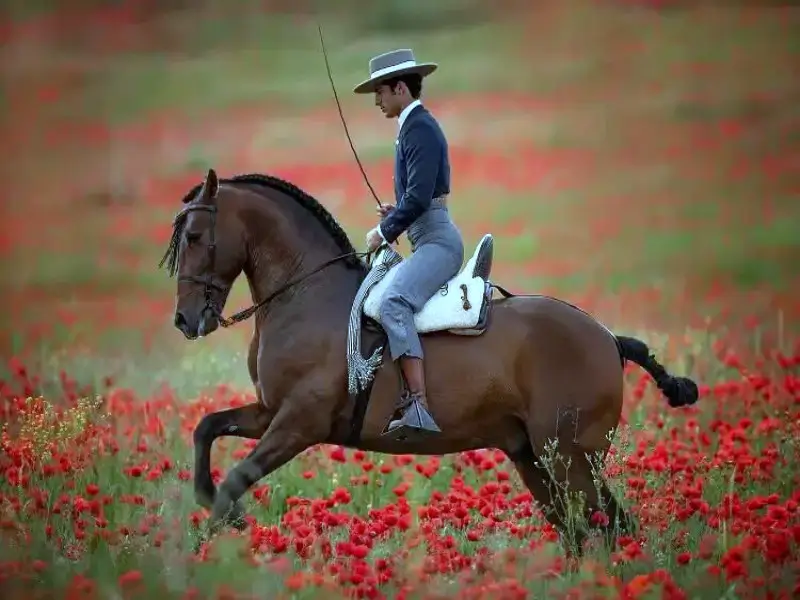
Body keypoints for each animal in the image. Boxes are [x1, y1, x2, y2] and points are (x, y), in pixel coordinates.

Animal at [160, 168, 699, 552]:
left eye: (194, 236)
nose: (185, 319)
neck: (306, 295)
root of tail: (607, 337)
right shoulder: (269, 413)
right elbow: (207, 428)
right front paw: (209, 504)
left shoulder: (299, 423)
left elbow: (236, 479)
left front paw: (214, 536)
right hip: (536, 460)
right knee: (580, 532)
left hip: (571, 459)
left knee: (611, 528)